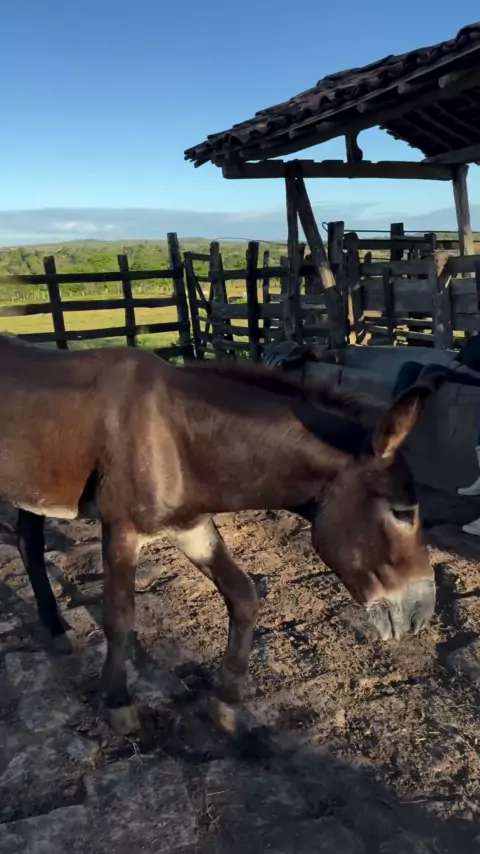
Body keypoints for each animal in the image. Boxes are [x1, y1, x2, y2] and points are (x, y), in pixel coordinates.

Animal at [0, 334, 443, 734]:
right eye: (403, 513)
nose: (422, 615)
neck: (173, 434)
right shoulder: (121, 530)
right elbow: (119, 616)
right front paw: (118, 702)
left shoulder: (192, 527)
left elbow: (244, 597)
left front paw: (225, 702)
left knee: (28, 544)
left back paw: (56, 630)